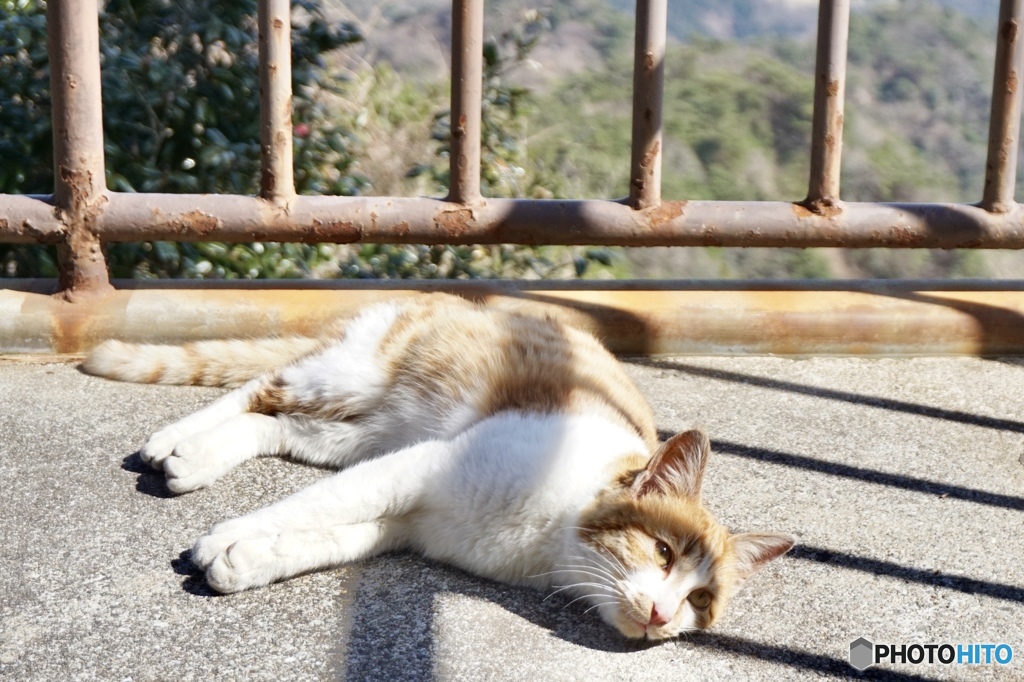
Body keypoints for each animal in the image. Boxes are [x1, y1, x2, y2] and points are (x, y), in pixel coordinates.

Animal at [83, 292, 794, 638]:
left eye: (700, 599)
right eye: (664, 553)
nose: (664, 617)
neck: (545, 542)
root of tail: (452, 298)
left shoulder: (409, 523)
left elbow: (325, 537)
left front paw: (244, 561)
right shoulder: (419, 467)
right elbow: (310, 506)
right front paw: (226, 537)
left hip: (352, 433)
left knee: (270, 421)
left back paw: (199, 458)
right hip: (351, 378)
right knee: (259, 385)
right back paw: (173, 443)